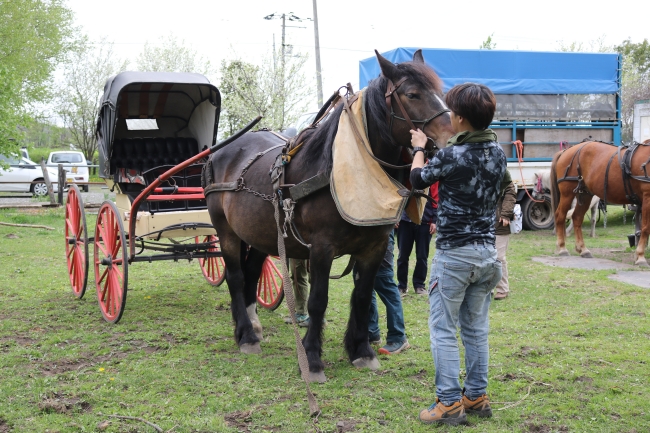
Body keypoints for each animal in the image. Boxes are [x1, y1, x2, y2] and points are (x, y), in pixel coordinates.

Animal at [202, 51, 450, 382]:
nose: (452, 137)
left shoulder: (374, 247)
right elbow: (318, 300)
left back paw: (253, 325)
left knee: (252, 273)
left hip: (261, 233)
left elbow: (362, 295)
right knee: (235, 276)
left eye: (441, 92)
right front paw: (311, 359)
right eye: (412, 94)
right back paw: (246, 335)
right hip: (226, 231)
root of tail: (220, 152)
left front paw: (362, 351)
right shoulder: (322, 247)